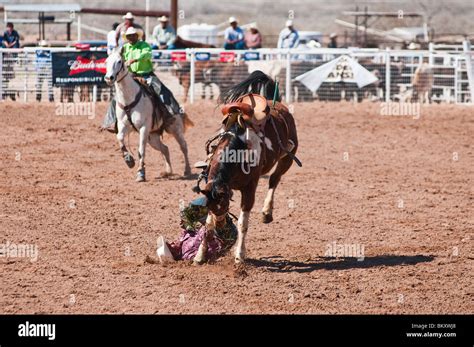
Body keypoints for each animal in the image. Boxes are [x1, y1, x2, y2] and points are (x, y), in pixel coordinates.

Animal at [193, 71, 300, 266]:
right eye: (211, 207)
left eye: (225, 205)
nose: (222, 227)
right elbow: (208, 225)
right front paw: (200, 255)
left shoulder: (250, 188)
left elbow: (243, 223)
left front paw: (240, 255)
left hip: (287, 158)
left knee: (274, 180)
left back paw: (267, 212)